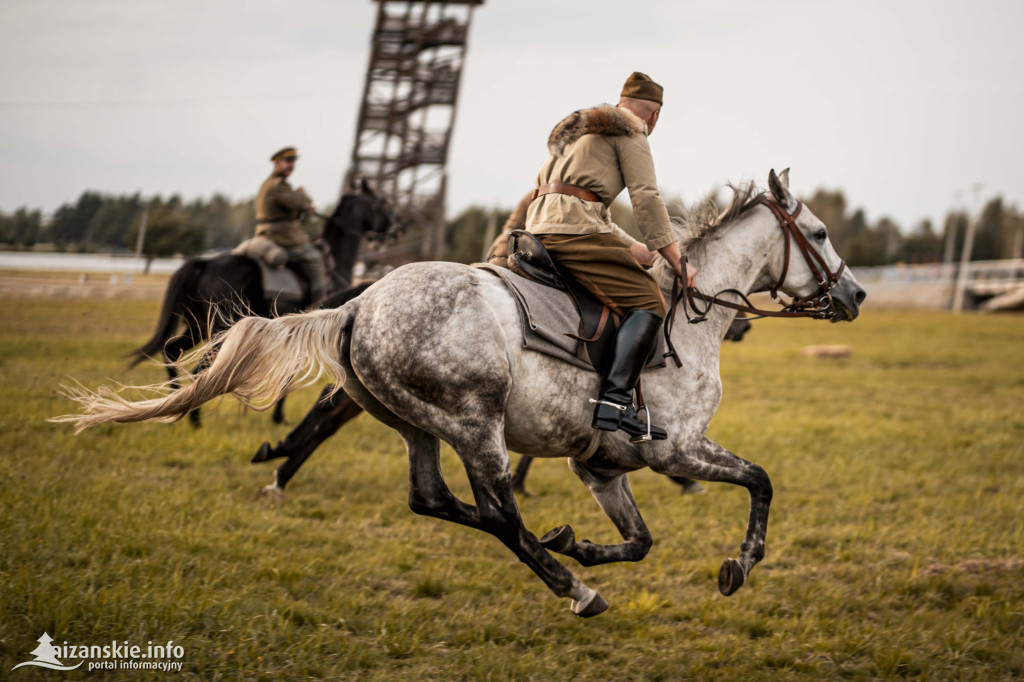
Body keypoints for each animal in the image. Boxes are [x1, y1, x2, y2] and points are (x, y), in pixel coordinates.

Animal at [133, 180, 395, 425]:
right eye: (382, 202)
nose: (396, 228)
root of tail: (204, 264)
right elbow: (290, 375)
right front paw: (277, 416)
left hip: (197, 327)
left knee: (172, 350)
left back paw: (173, 407)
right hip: (218, 330)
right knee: (203, 368)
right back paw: (192, 416)